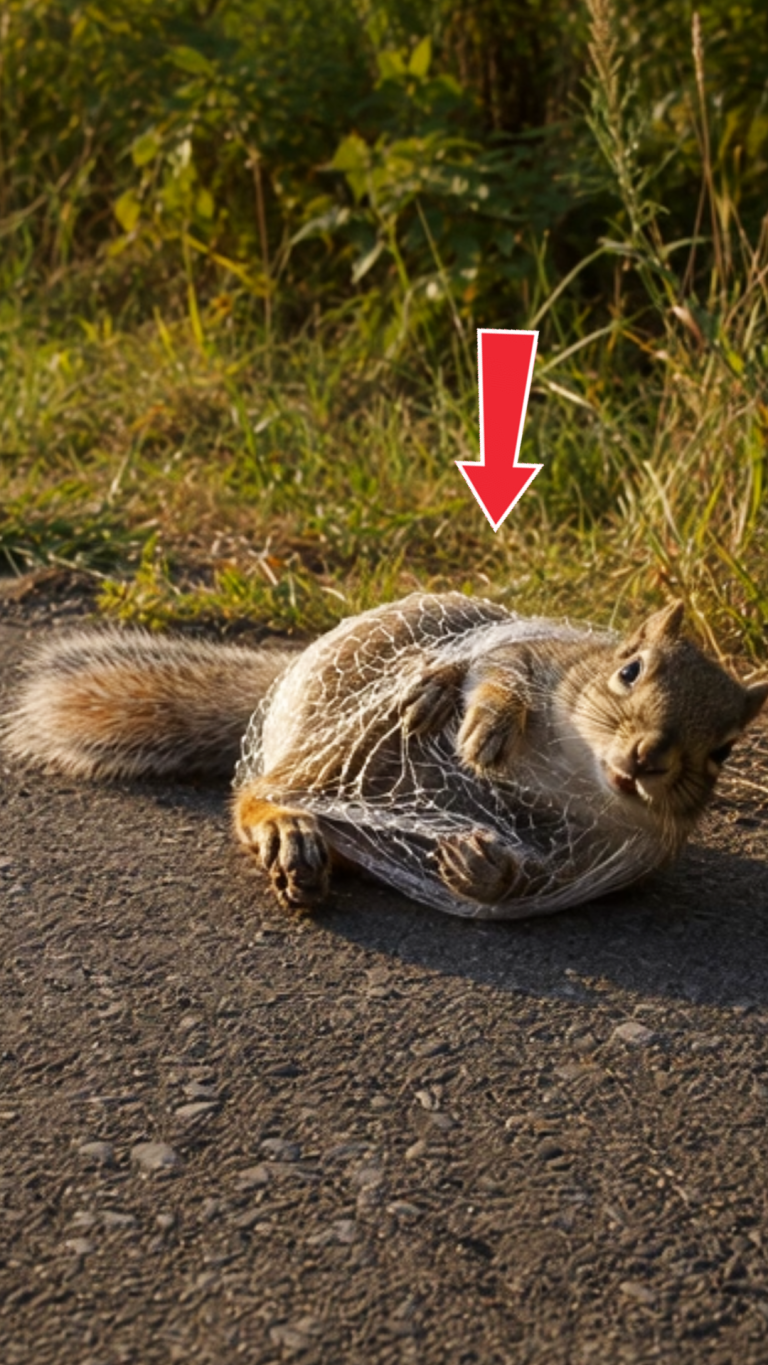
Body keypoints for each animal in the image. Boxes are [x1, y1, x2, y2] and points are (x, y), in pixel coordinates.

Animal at [3, 592, 766, 919]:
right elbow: (497, 670)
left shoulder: (603, 856)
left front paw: (484, 873)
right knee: (257, 794)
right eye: (629, 670)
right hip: (334, 746)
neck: (573, 777)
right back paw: (285, 825)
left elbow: (532, 878)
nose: (648, 756)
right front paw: (480, 722)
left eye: (725, 751)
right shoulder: (535, 658)